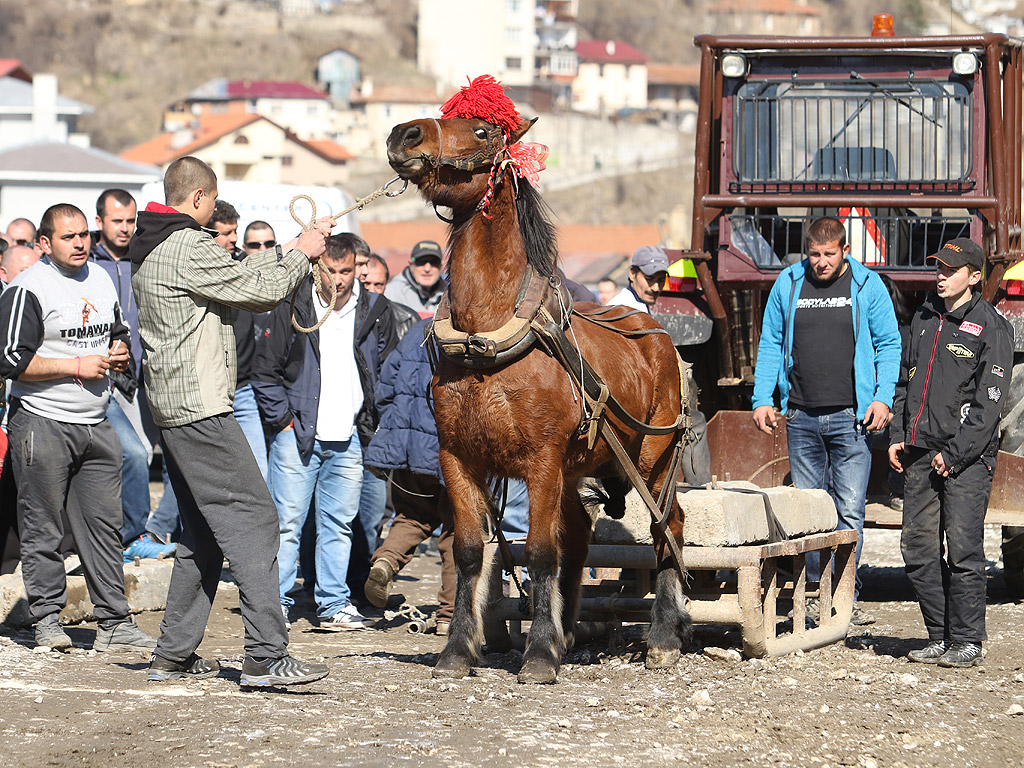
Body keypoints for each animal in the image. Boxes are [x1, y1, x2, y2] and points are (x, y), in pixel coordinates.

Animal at [387, 115, 692, 684]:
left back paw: (663, 634)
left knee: (668, 526)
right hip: (578, 470)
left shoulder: (542, 460)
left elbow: (540, 552)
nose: (405, 134)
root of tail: (658, 331)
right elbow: (469, 551)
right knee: (580, 533)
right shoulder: (456, 458)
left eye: (483, 131)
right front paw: (459, 649)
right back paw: (571, 630)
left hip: (654, 458)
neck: (487, 333)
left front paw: (540, 653)